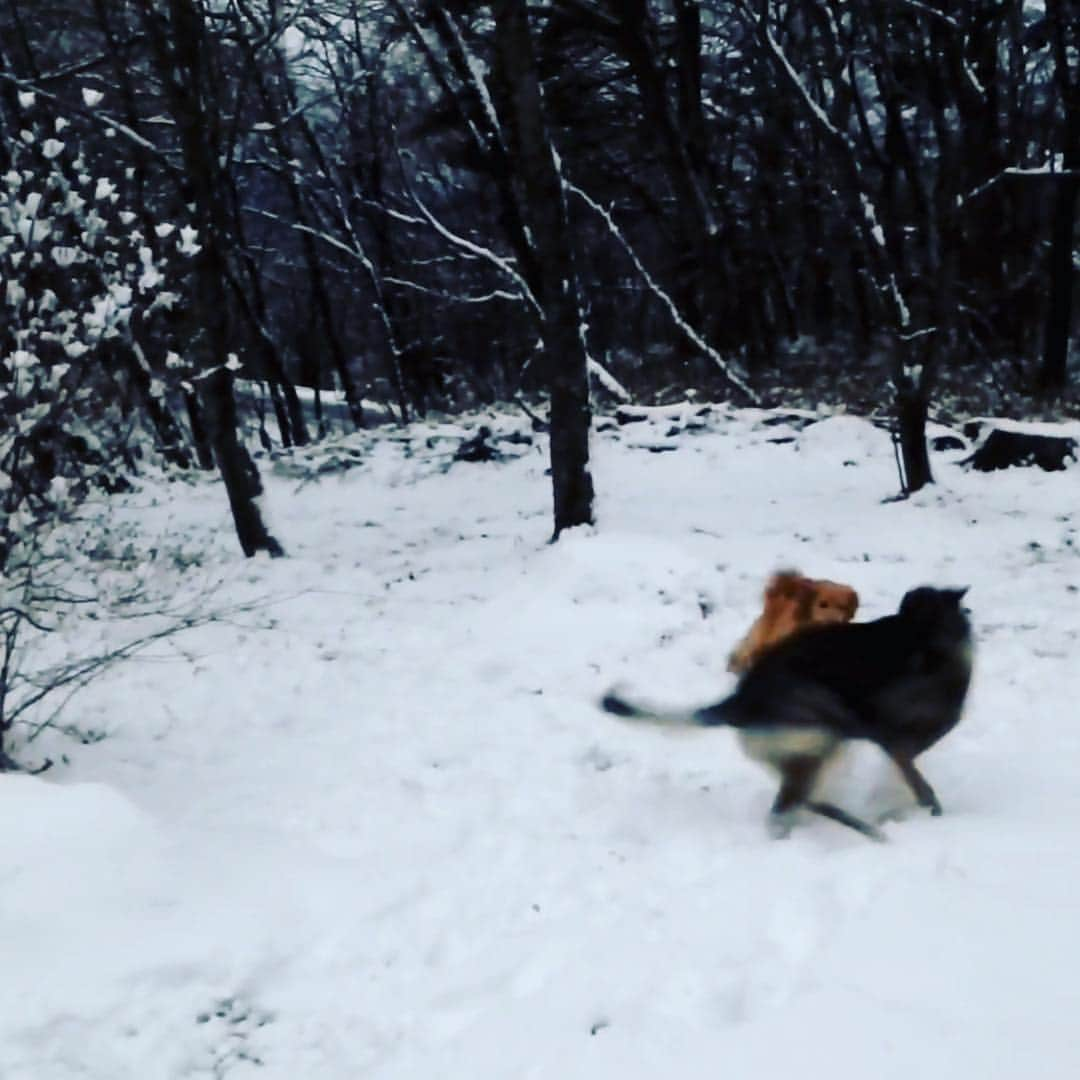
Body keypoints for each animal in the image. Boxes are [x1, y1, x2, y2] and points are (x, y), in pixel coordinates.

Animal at [604, 587, 976, 838]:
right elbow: (920, 783)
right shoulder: (892, 740)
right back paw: (864, 830)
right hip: (821, 734)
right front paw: (929, 811)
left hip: (812, 749)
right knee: (790, 806)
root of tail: (738, 702)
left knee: (801, 800)